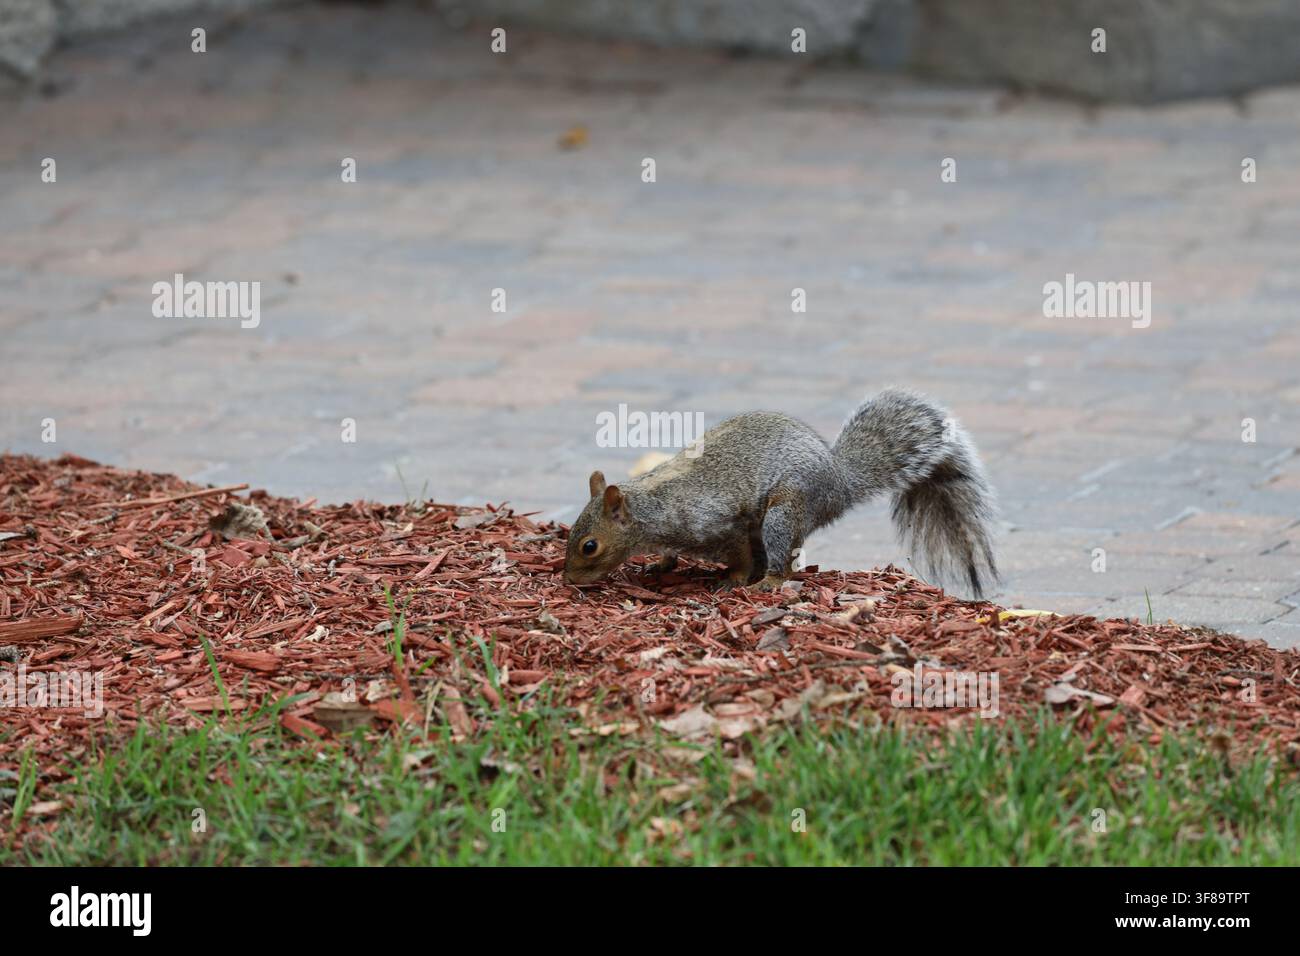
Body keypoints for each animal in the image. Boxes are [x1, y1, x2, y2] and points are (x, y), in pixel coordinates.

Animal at [563, 387, 999, 599]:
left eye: (589, 546)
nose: (567, 580)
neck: (654, 505)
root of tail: (838, 483)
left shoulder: (721, 523)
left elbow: (738, 555)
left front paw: (733, 579)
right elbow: (669, 554)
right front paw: (659, 565)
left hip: (784, 511)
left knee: (784, 562)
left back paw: (767, 582)